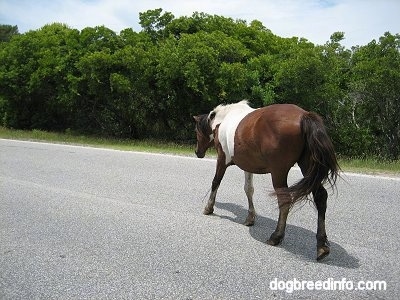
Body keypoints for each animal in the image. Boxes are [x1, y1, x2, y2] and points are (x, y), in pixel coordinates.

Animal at [192, 100, 340, 260]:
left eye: (196, 131)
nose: (197, 152)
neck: (223, 119)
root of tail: (304, 116)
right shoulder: (247, 165)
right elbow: (248, 189)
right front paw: (250, 217)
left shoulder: (222, 159)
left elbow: (216, 182)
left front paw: (209, 207)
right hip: (308, 167)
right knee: (320, 197)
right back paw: (321, 246)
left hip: (278, 172)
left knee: (284, 200)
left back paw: (276, 236)